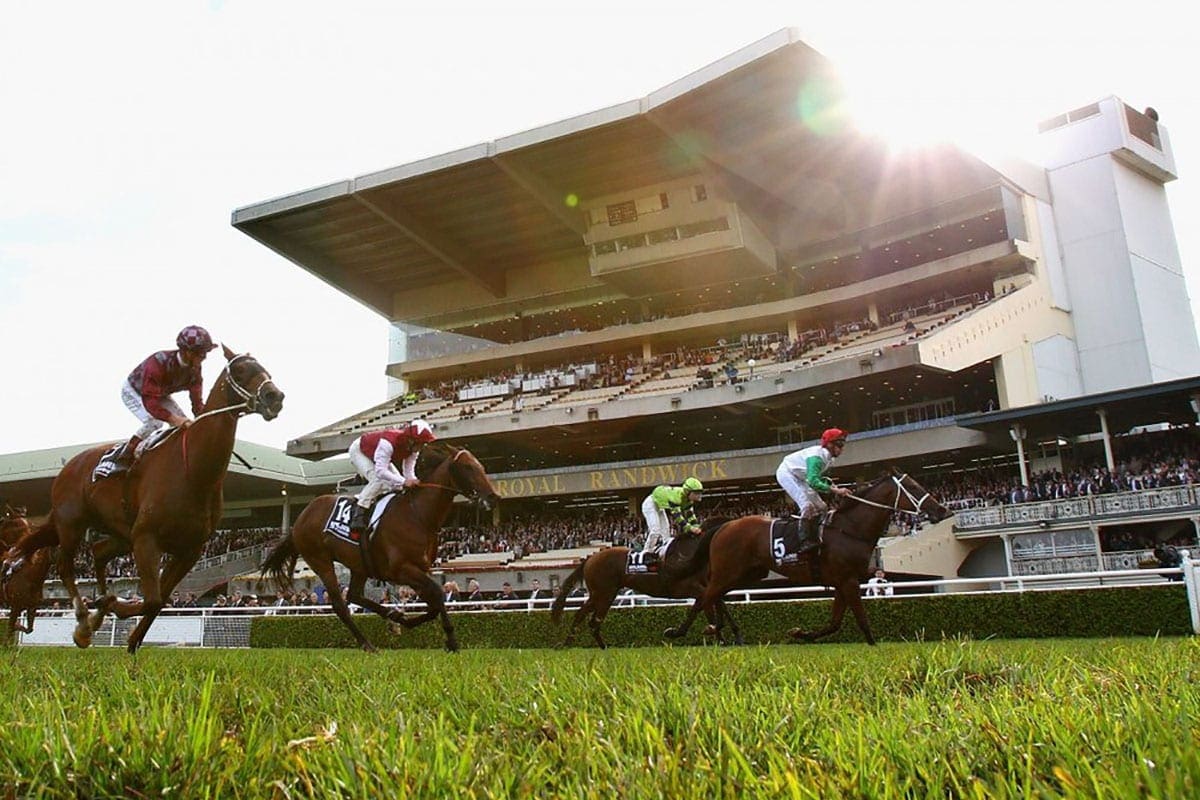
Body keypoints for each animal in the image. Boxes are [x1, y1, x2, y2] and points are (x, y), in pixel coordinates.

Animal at [2, 347, 283, 652]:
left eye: (265, 369)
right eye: (241, 370)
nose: (275, 396)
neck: (194, 470)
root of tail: (69, 467)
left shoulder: (190, 549)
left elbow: (160, 600)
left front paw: (127, 630)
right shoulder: (147, 538)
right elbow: (153, 599)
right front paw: (112, 607)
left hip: (120, 533)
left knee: (98, 551)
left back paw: (96, 610)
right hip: (72, 525)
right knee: (65, 566)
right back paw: (84, 623)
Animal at [262, 441, 501, 652]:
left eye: (482, 466)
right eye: (468, 467)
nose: (493, 496)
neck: (419, 515)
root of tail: (301, 518)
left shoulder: (419, 569)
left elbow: (434, 601)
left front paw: (403, 619)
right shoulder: (401, 569)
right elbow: (437, 594)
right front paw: (451, 641)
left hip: (359, 565)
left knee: (354, 596)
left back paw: (391, 618)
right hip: (320, 560)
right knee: (340, 605)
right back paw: (367, 644)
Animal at [547, 522, 739, 647]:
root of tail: (590, 558)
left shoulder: (708, 587)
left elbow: (719, 606)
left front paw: (733, 636)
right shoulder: (690, 588)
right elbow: (706, 608)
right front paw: (715, 635)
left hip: (601, 594)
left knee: (583, 615)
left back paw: (580, 643)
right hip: (604, 593)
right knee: (592, 619)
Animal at [667, 472, 945, 647]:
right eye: (915, 489)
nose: (943, 510)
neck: (849, 528)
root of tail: (723, 525)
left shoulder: (842, 581)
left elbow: (834, 623)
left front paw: (801, 634)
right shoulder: (848, 580)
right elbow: (860, 617)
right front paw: (873, 643)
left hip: (746, 574)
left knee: (713, 596)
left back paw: (713, 630)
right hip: (729, 571)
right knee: (704, 597)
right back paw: (689, 631)